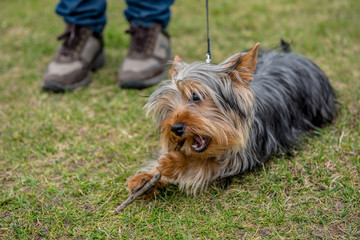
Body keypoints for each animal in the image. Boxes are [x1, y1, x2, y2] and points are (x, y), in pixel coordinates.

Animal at [126, 41, 338, 196]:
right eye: (170, 108)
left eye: (196, 96)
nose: (175, 128)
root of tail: (290, 54)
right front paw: (146, 178)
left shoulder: (245, 155)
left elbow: (207, 164)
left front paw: (177, 163)